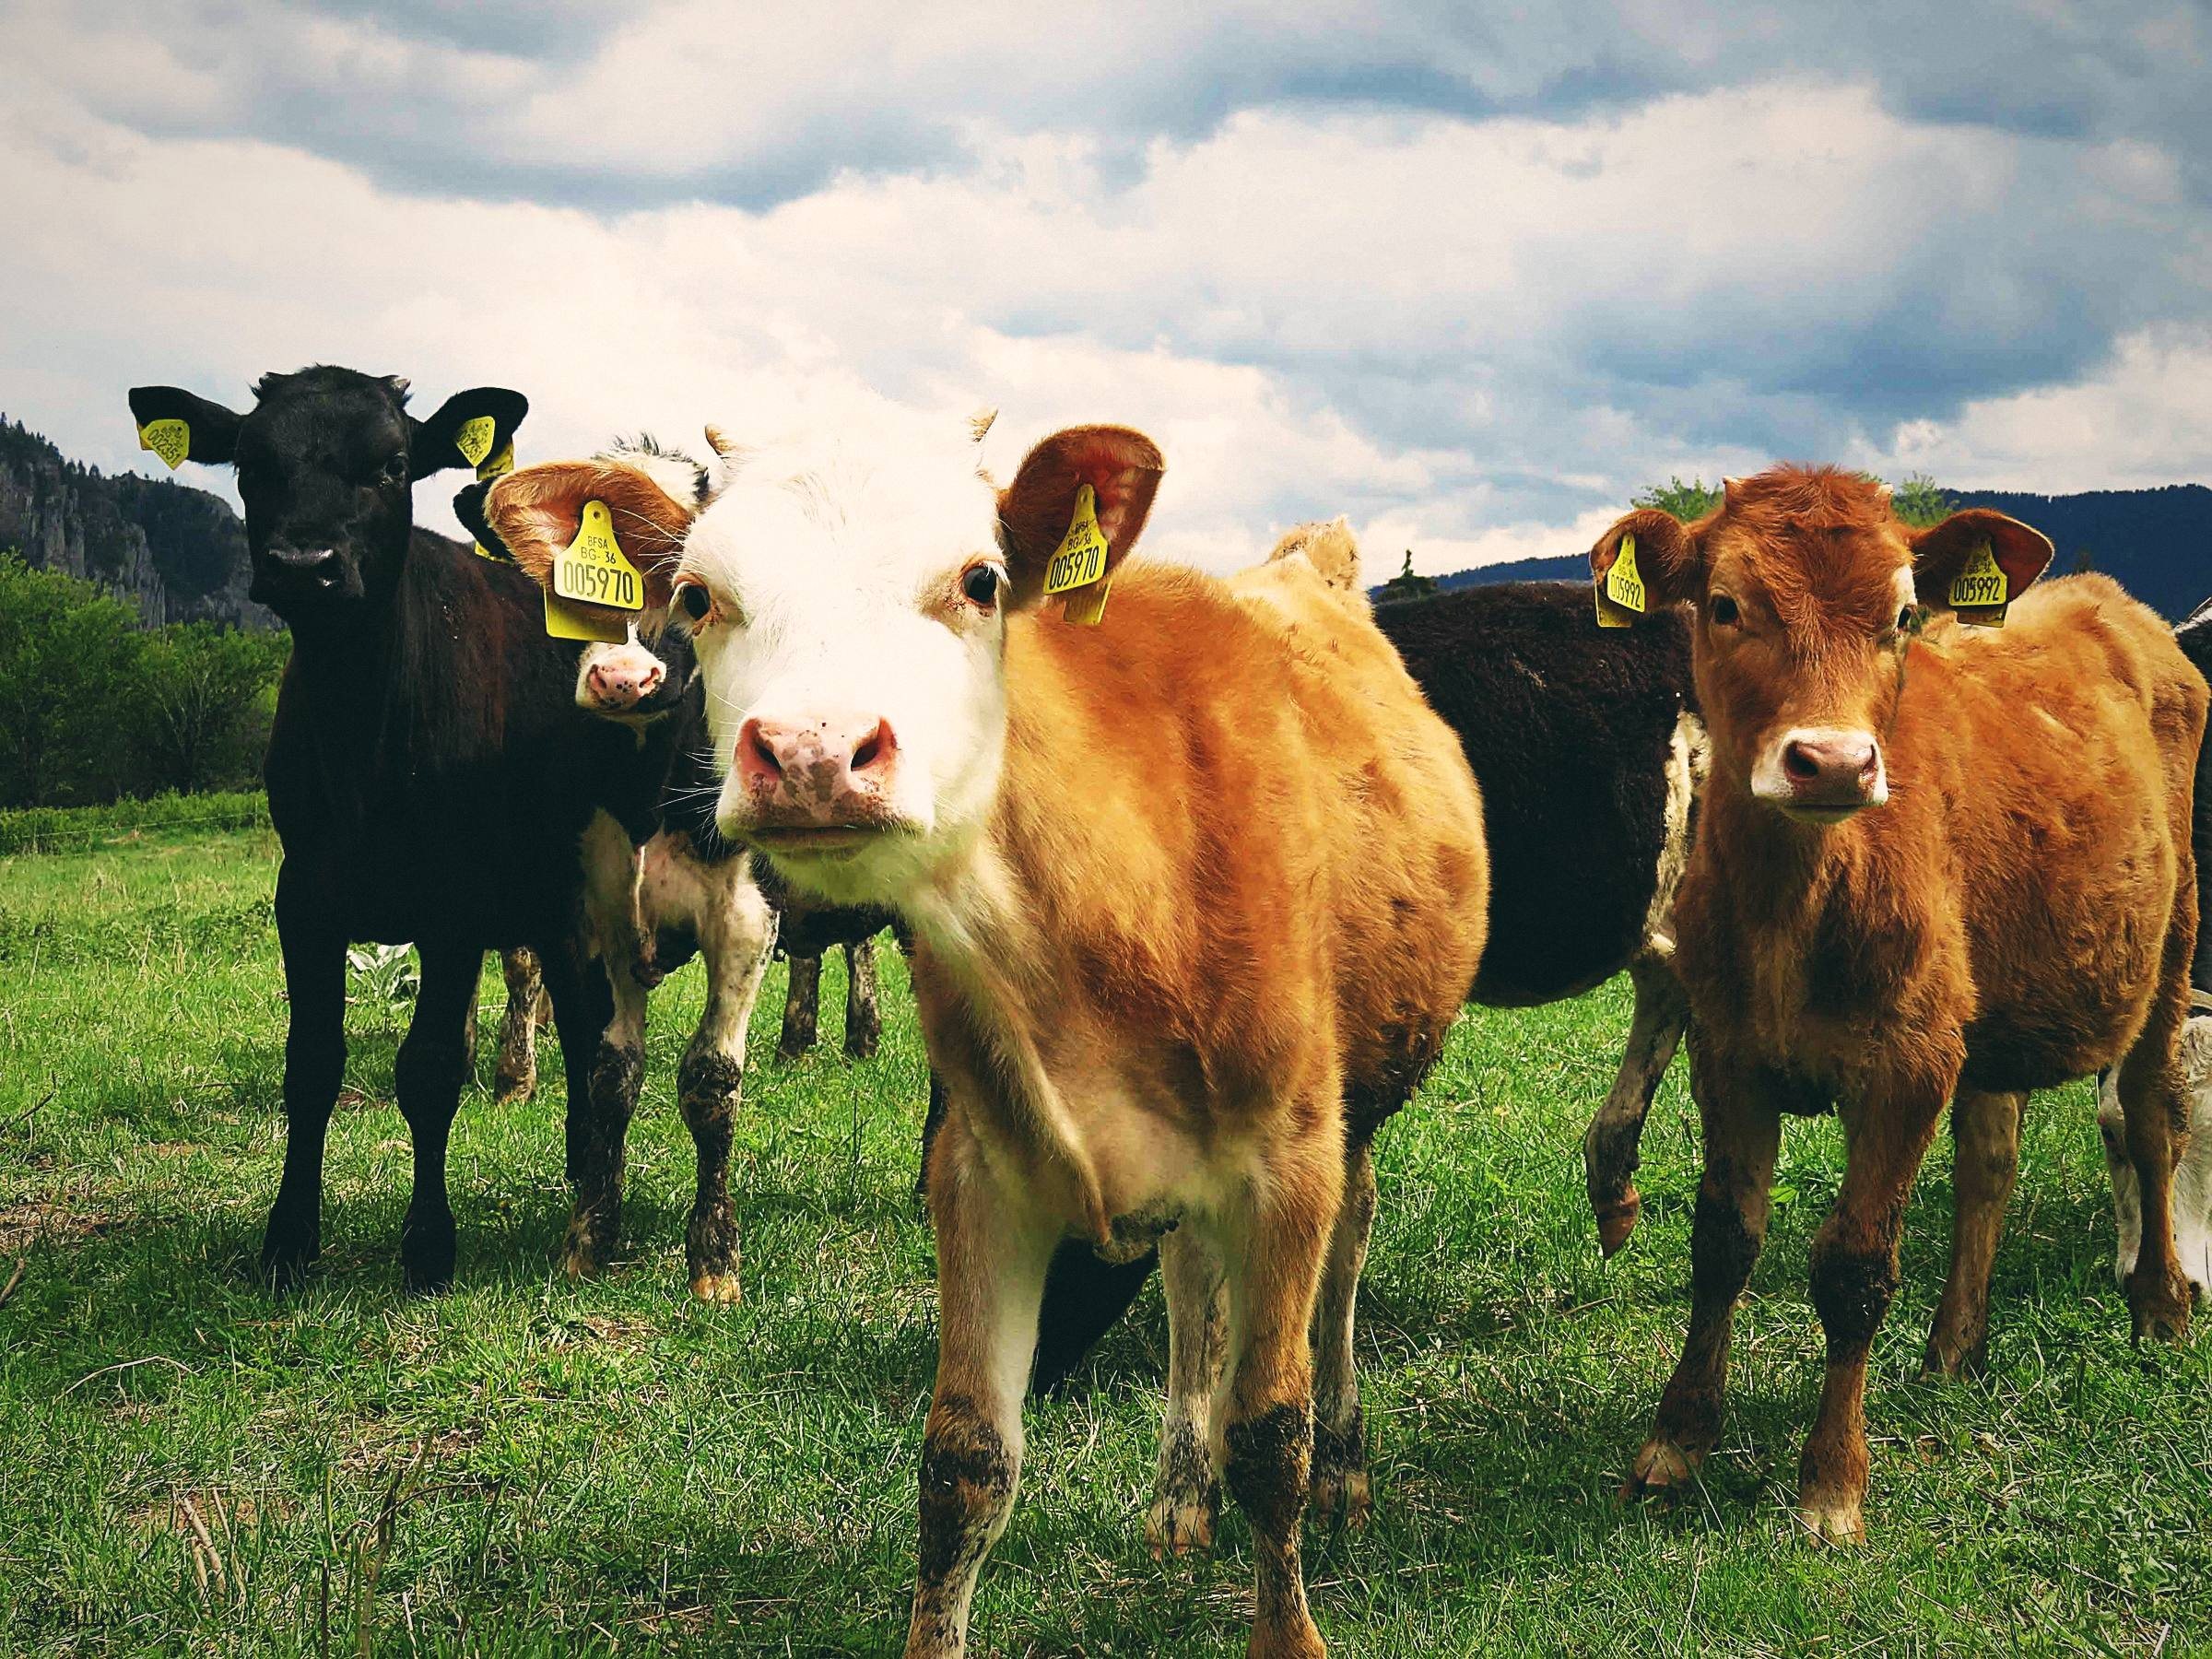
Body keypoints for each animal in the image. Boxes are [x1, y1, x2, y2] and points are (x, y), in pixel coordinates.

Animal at [125, 368, 700, 1295]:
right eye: (250, 462)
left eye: (393, 464)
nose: (305, 564)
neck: (365, 736)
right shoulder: (304, 897)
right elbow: (311, 1062)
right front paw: (289, 1237)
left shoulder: (452, 907)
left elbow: (429, 1070)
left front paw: (428, 1245)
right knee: (580, 1021)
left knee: (583, 1022)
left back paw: (585, 1170)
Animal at [480, 411, 1492, 1659]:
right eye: (701, 595)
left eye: (980, 581)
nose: (813, 754)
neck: (1116, 904)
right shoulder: (979, 1167)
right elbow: (964, 1462)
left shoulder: (1288, 1160)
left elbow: (1272, 1436)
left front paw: (1290, 1605)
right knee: (1191, 1282)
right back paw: (1179, 1492)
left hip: (1354, 1118)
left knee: (1345, 1257)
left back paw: (1342, 1461)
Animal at [1590, 465, 2204, 1545]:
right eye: (1725, 605)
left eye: (1904, 616)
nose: (1834, 761)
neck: (1798, 900)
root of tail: (2111, 604)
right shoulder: (1728, 1052)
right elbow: (1722, 1241)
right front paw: (1676, 1442)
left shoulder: (1907, 1065)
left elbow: (1853, 1265)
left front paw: (1832, 1482)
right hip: (1986, 1004)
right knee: (1991, 1159)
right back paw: (1954, 1347)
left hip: (2170, 947)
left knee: (2151, 1114)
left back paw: (2160, 1306)